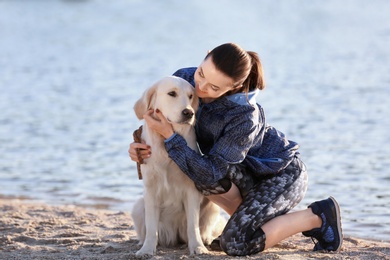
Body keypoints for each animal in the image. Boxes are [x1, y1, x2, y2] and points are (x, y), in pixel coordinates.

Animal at [131, 75, 224, 256]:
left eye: (190, 96)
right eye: (172, 93)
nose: (189, 113)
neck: (166, 142)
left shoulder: (192, 188)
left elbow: (193, 226)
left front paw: (198, 247)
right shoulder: (150, 189)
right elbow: (151, 227)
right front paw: (147, 249)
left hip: (212, 206)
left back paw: (205, 240)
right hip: (138, 207)